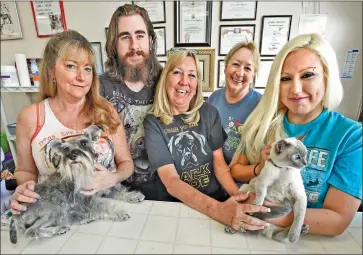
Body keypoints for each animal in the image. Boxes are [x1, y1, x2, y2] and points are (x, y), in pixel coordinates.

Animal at [8, 124, 145, 244]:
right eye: (65, 149)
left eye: (83, 143)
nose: (72, 156)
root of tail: (16, 215)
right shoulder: (86, 201)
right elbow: (103, 206)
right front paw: (119, 213)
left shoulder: (105, 188)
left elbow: (120, 192)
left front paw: (134, 196)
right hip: (55, 208)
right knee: (32, 231)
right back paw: (61, 228)